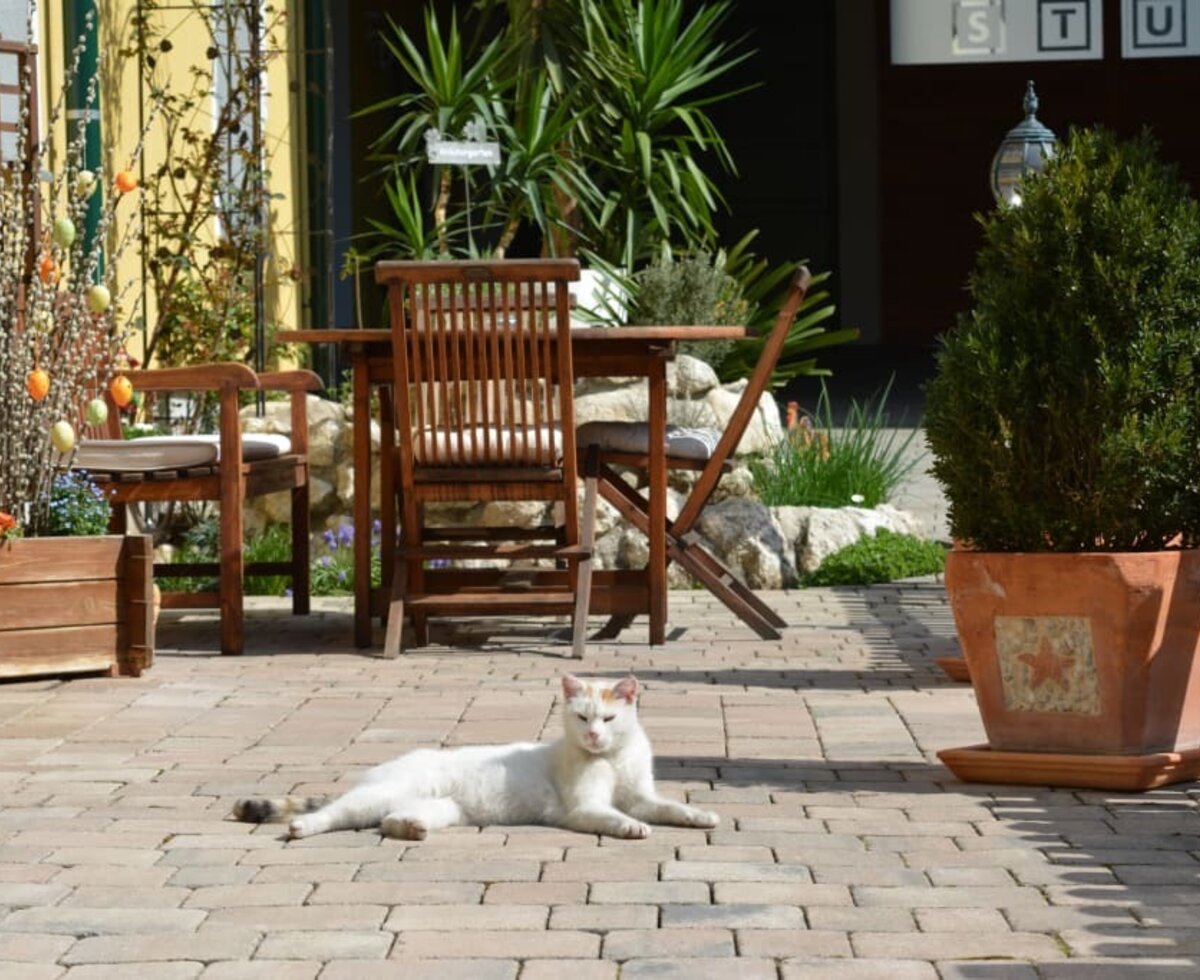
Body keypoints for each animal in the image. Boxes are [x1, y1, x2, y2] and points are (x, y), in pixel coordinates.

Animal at [235, 671, 720, 839]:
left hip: (442, 809)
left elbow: (670, 807)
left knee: (389, 820)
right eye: (582, 718)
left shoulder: (642, 795)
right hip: (372, 798)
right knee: (333, 814)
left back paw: (409, 829)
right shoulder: (584, 808)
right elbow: (615, 816)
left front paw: (701, 816)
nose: (595, 736)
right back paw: (302, 827)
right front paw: (632, 827)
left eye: (609, 719)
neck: (612, 759)